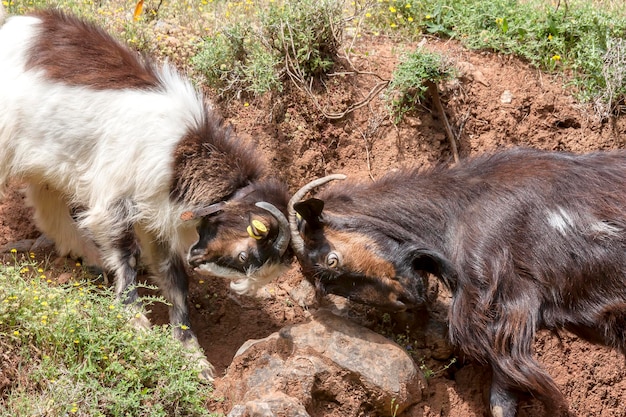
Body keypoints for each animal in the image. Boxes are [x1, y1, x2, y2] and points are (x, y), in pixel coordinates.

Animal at [0, 6, 288, 378]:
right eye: (244, 256)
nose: (241, 289)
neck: (178, 154)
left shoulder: (157, 216)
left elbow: (174, 278)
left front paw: (194, 357)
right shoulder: (116, 198)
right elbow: (128, 254)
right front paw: (135, 322)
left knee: (47, 208)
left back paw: (90, 258)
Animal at [290, 149, 624, 416]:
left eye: (332, 259)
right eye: (330, 287)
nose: (405, 299)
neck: (458, 208)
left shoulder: (503, 304)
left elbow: (505, 394)